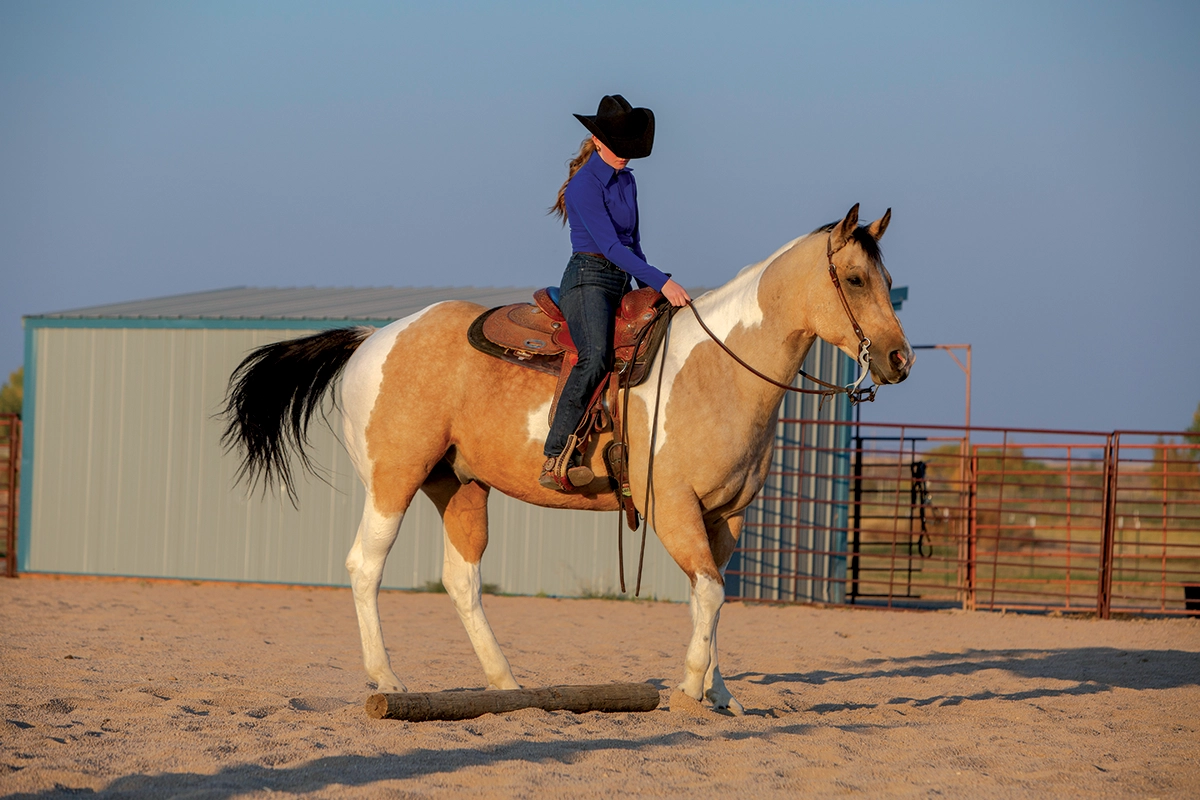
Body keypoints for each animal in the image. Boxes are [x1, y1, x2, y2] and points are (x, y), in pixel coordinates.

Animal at [221, 203, 913, 714]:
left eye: (886, 282)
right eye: (855, 279)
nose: (899, 360)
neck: (715, 370)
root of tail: (374, 339)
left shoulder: (727, 518)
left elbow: (711, 601)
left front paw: (720, 694)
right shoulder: (674, 511)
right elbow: (711, 596)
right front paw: (692, 688)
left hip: (461, 486)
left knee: (462, 580)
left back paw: (508, 687)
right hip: (394, 480)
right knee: (365, 566)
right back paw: (387, 680)